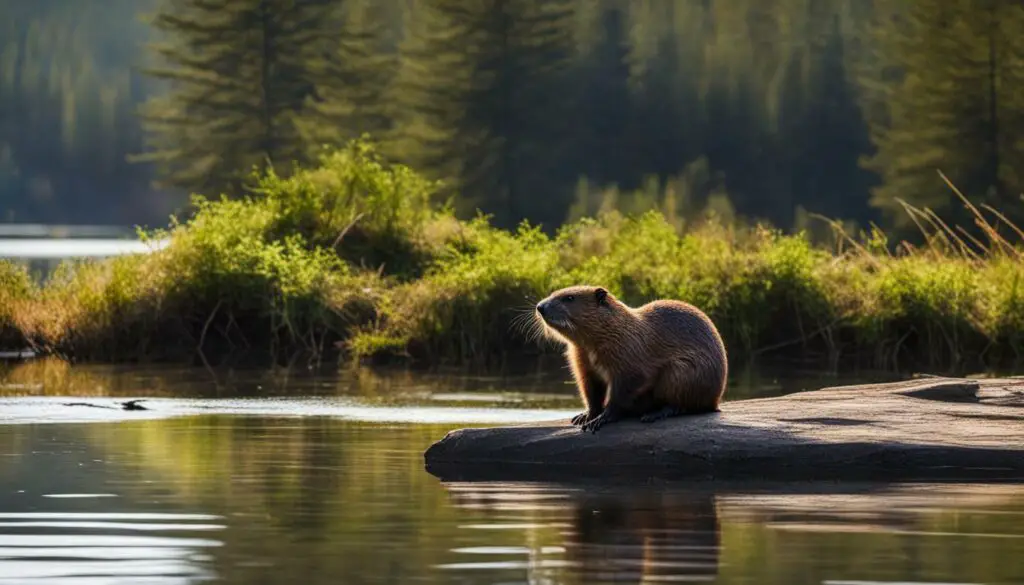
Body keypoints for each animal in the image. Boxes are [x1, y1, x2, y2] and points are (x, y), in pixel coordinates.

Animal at [536, 286, 729, 432]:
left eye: (569, 297)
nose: (540, 307)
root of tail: (715, 403)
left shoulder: (631, 357)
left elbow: (625, 389)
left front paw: (600, 419)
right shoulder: (583, 363)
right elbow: (591, 391)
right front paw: (584, 416)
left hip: (681, 372)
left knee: (682, 404)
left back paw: (654, 414)